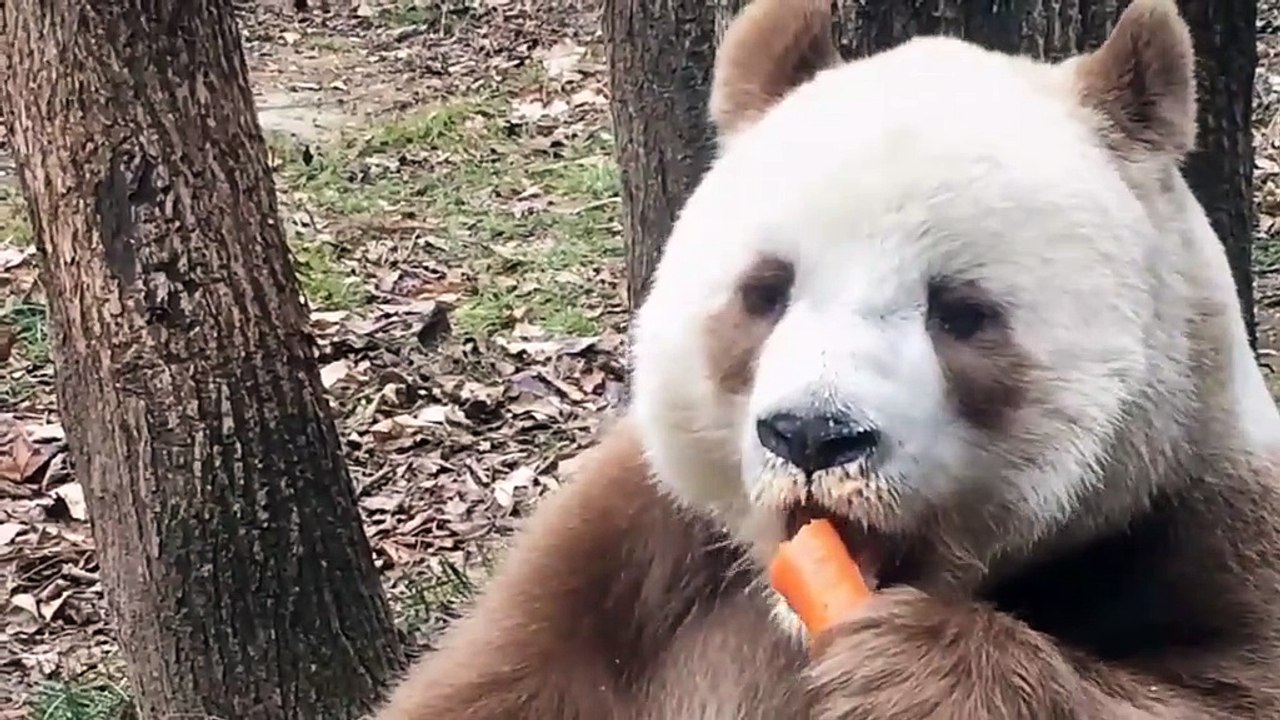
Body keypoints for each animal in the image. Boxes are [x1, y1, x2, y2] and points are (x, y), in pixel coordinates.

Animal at [375, 0, 1280, 717]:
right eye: (766, 290)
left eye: (960, 312)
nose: (813, 435)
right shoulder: (628, 557)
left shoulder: (1204, 522)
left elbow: (1222, 692)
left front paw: (908, 670)